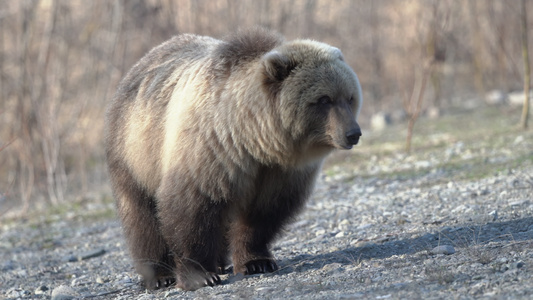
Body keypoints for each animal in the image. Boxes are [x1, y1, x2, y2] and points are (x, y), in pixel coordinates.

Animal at [105, 27, 362, 290]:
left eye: (350, 97)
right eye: (324, 99)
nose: (353, 133)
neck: (255, 140)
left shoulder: (279, 172)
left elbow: (263, 215)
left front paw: (257, 262)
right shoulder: (211, 151)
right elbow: (191, 210)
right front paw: (199, 274)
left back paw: (218, 262)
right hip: (136, 150)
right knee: (142, 215)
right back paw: (160, 275)